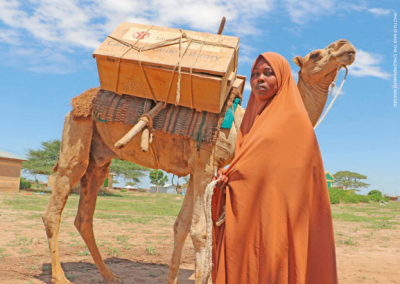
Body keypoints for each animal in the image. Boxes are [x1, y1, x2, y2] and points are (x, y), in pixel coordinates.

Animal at [43, 38, 356, 284]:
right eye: (316, 54)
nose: (346, 46)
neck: (245, 125)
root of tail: (75, 103)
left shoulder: (197, 171)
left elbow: (181, 226)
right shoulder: (205, 167)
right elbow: (200, 232)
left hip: (99, 159)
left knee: (84, 216)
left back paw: (110, 275)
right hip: (77, 138)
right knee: (55, 206)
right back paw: (60, 277)